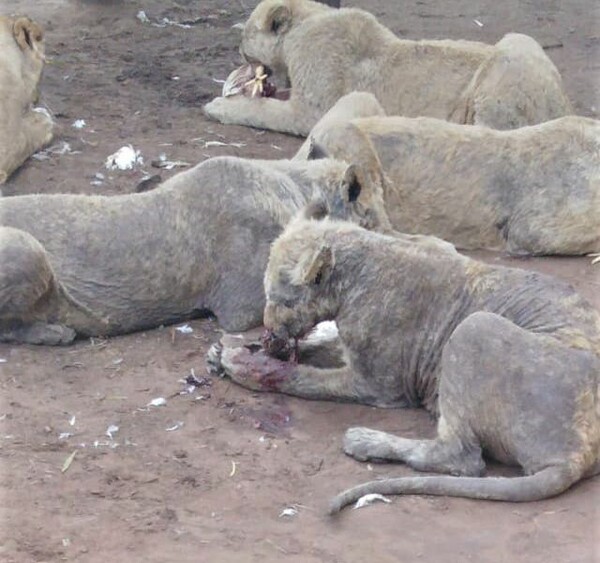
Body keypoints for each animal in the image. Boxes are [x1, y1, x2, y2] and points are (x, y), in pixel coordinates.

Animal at [205, 0, 572, 136]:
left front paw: (218, 105)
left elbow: (265, 111)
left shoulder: (311, 108)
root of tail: (562, 104)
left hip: (504, 69)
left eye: (244, 49)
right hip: (519, 39)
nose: (238, 54)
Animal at [212, 212, 600, 512]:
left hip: (472, 329)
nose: (269, 327)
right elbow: (318, 346)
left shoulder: (377, 385)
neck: (354, 268)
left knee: (462, 458)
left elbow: (305, 378)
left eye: (278, 298)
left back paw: (364, 441)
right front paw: (227, 350)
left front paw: (245, 365)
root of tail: (574, 454)